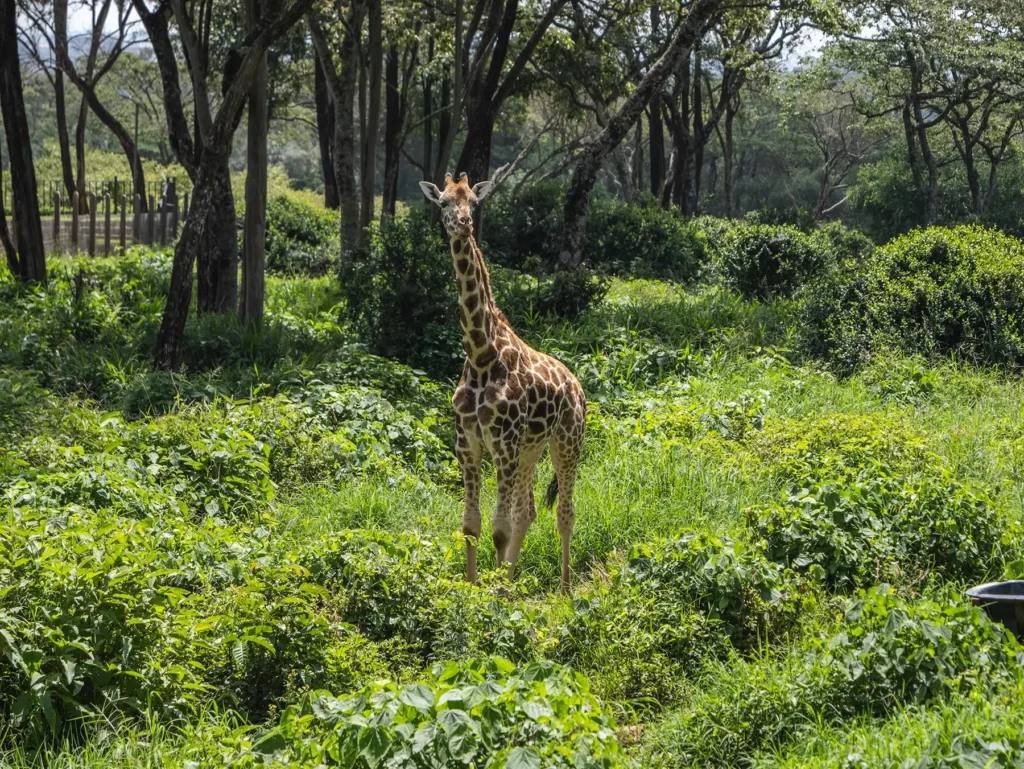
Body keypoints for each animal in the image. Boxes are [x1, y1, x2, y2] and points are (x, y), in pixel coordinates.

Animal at [419, 172, 587, 594]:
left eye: (474, 202)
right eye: (444, 202)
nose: (463, 223)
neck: (482, 354)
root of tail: (578, 386)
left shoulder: (503, 445)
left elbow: (499, 529)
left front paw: (493, 595)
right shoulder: (468, 444)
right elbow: (472, 526)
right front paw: (476, 588)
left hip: (566, 443)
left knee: (565, 511)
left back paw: (564, 589)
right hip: (531, 449)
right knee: (528, 510)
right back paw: (511, 582)